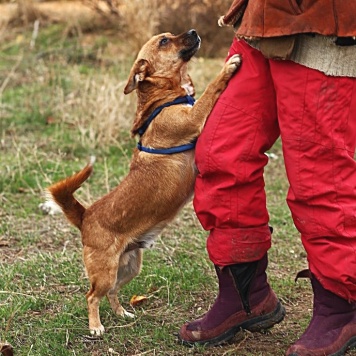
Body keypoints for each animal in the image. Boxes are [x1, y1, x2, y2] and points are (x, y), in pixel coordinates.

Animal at [43, 29, 241, 336]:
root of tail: (86, 216)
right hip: (105, 272)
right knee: (92, 295)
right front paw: (227, 67)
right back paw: (96, 326)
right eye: (164, 41)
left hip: (129, 267)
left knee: (112, 292)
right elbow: (210, 90)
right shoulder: (194, 118)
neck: (164, 97)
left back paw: (121, 313)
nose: (194, 32)